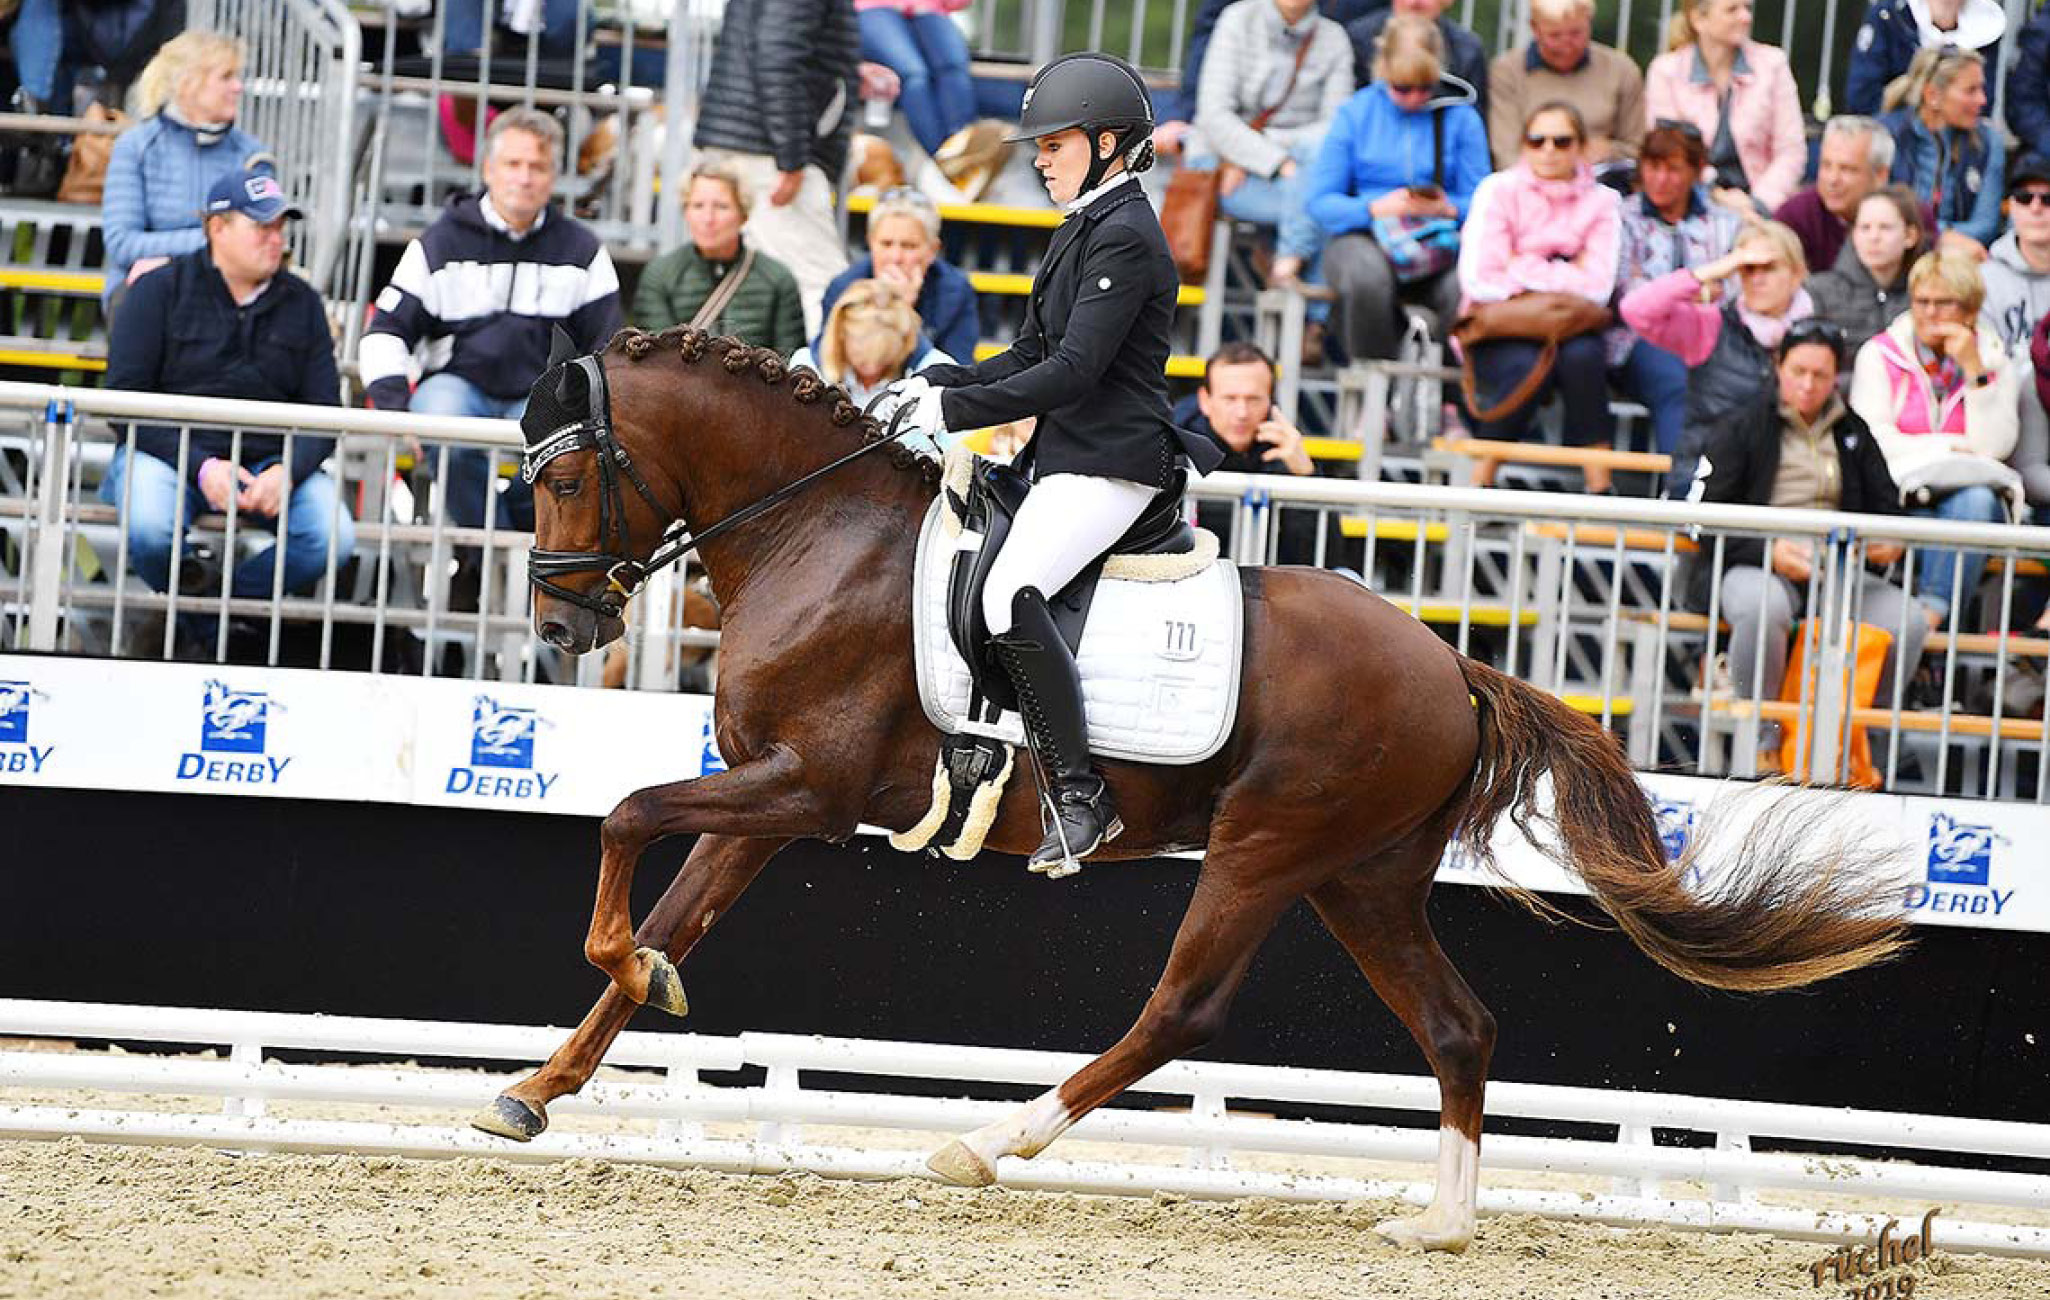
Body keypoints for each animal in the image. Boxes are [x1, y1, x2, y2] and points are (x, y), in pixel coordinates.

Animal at [474, 326, 1907, 1253]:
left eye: (563, 477)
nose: (560, 629)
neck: (819, 536)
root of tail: (1450, 661)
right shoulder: (765, 793)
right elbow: (672, 912)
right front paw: (538, 1088)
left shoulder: (806, 792)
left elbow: (626, 822)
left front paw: (613, 984)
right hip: (1360, 879)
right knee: (1457, 1027)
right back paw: (1440, 1226)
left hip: (1265, 853)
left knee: (1183, 1007)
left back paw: (992, 1144)